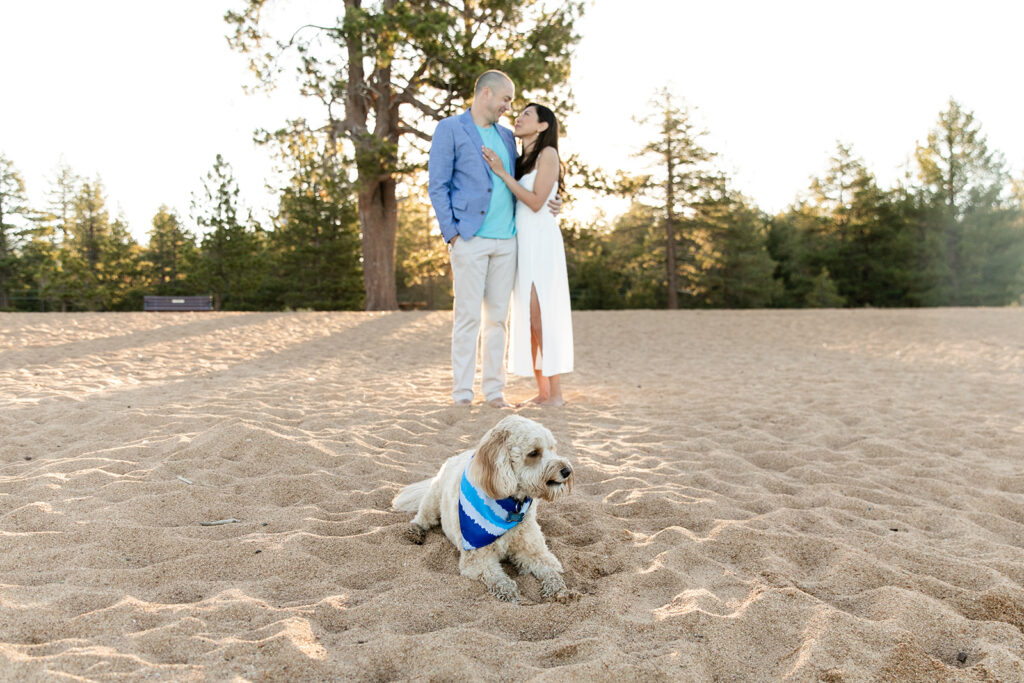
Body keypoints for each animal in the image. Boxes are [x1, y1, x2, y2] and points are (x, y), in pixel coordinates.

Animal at [391, 413, 577, 602]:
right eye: (534, 453)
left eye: (553, 448)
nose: (567, 471)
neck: (510, 505)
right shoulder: (478, 559)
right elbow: (500, 579)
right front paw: (511, 594)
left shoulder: (536, 552)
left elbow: (550, 571)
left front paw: (559, 589)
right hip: (433, 500)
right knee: (421, 518)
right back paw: (415, 531)